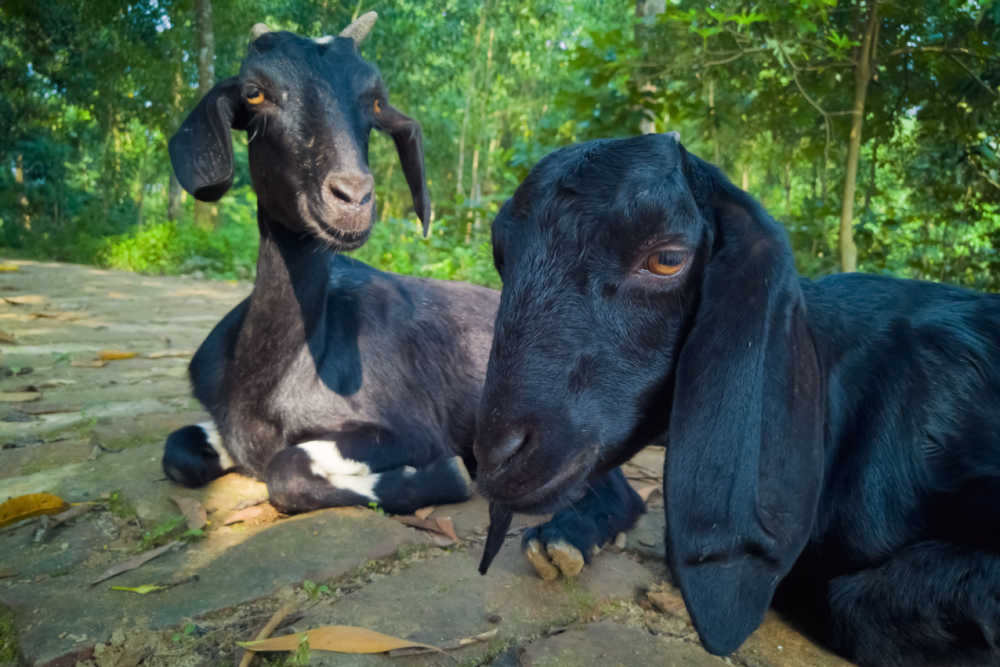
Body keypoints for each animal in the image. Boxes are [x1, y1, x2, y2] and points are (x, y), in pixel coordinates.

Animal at [162, 13, 648, 560]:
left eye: (375, 101)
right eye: (255, 92)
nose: (353, 196)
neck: (277, 369)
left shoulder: (409, 427)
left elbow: (286, 468)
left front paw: (444, 476)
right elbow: (178, 452)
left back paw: (562, 540)